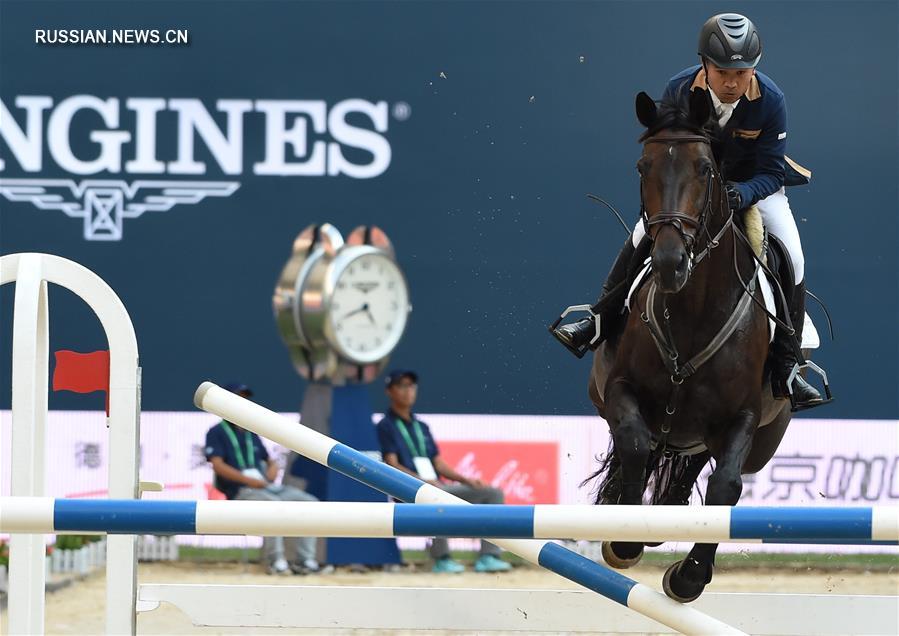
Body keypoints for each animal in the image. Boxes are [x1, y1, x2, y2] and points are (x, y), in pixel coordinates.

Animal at [592, 88, 796, 600]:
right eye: (642, 167)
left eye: (705, 168)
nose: (669, 263)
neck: (693, 313)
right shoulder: (619, 390)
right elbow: (634, 443)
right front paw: (624, 540)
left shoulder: (743, 416)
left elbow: (726, 487)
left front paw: (689, 577)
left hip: (725, 434)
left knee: (693, 465)